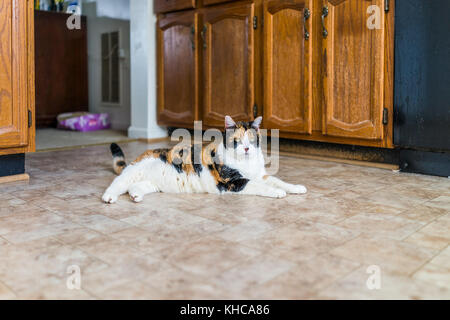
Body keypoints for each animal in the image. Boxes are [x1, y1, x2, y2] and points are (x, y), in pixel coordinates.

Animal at [102, 116, 306, 204]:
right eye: (237, 140)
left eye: (252, 139)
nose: (247, 148)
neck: (246, 163)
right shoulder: (232, 182)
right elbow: (260, 186)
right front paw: (277, 192)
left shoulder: (260, 175)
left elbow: (277, 180)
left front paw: (296, 188)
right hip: (133, 172)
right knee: (118, 183)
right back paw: (109, 197)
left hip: (151, 183)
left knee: (133, 187)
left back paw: (136, 196)